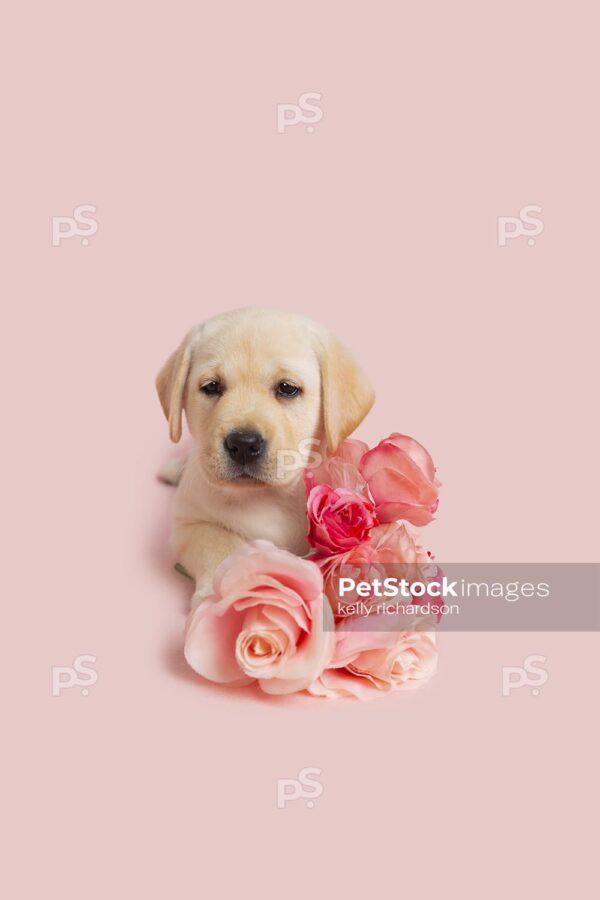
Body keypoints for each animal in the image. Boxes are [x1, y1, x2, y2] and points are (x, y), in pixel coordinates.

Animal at [158, 306, 376, 608]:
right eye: (212, 387)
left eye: (287, 388)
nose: (243, 444)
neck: (268, 495)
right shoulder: (189, 522)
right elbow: (218, 543)